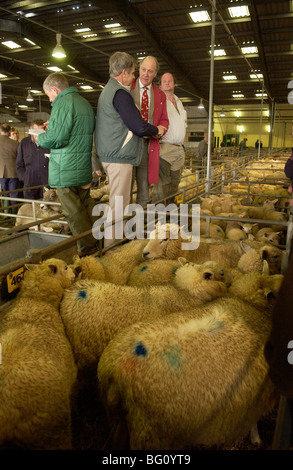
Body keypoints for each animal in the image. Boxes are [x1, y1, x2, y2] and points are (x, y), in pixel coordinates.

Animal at [96, 294, 278, 452]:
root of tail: (114, 368)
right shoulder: (256, 398)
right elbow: (252, 422)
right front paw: (256, 439)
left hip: (118, 419)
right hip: (150, 434)